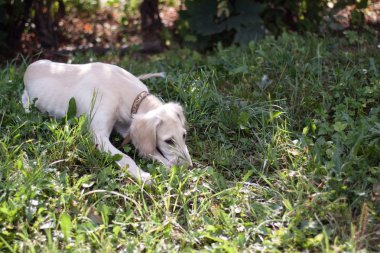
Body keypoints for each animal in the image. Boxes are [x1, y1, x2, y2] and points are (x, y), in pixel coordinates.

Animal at [22, 60, 193, 184]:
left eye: (184, 135)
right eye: (169, 141)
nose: (189, 167)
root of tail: (29, 67)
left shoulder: (127, 127)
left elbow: (148, 149)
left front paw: (167, 165)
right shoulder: (99, 137)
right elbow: (126, 157)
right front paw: (143, 176)